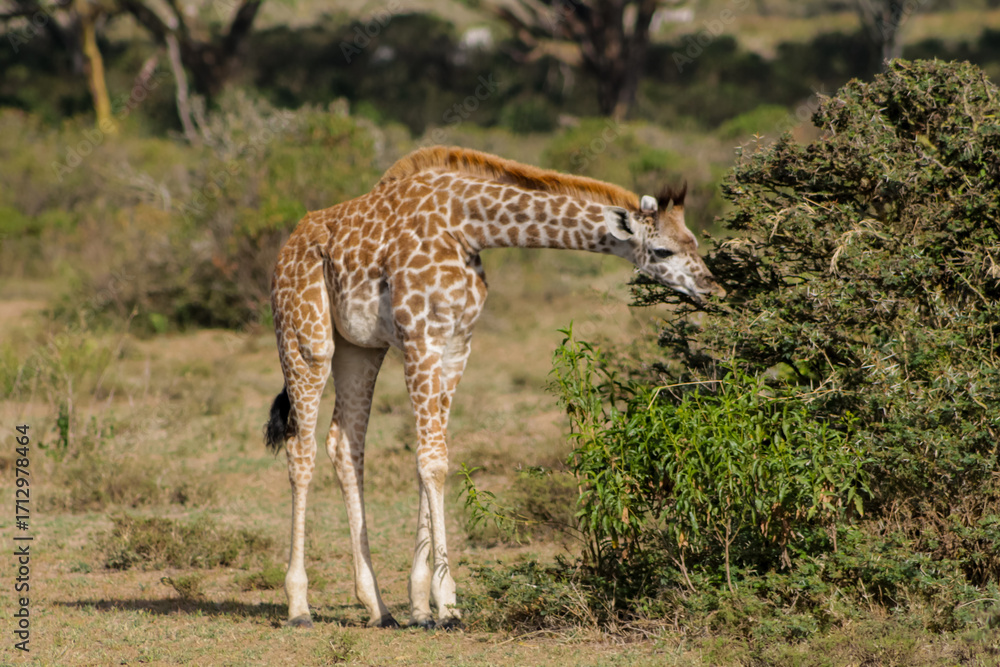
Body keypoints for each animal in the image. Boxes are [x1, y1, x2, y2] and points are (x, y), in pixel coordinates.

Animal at [264, 146, 723, 629]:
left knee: (345, 444)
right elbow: (431, 461)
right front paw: (447, 604)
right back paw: (299, 606)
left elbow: (434, 458)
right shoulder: (421, 338)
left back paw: (377, 607)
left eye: (694, 241)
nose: (713, 288)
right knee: (302, 448)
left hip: (360, 347)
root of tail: (286, 247)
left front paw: (421, 605)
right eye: (662, 249)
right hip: (306, 339)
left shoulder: (455, 345)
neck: (468, 226)